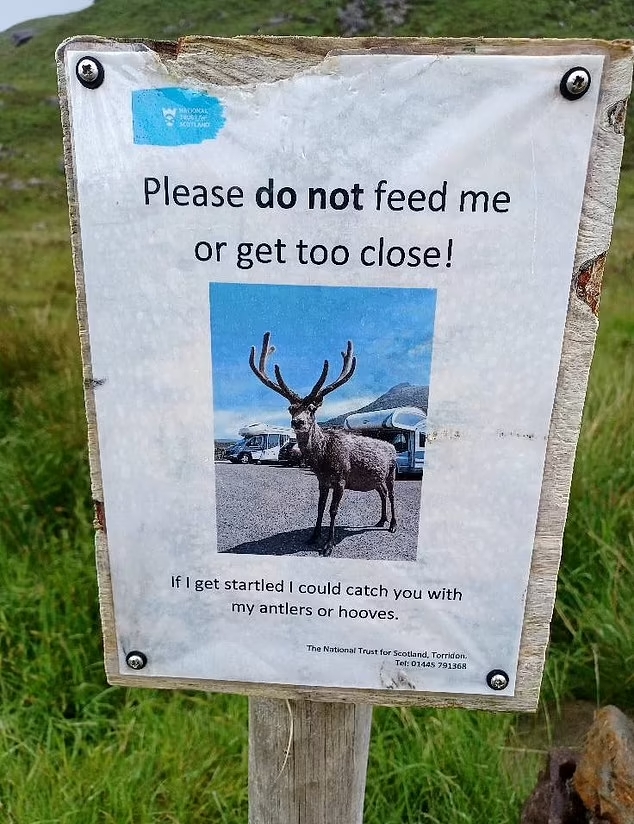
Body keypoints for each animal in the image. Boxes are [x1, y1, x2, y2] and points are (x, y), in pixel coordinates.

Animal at [249, 332, 397, 556]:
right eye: (291, 409)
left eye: (312, 409)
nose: (298, 422)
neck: (323, 460)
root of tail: (393, 447)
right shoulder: (322, 480)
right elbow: (319, 507)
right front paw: (313, 537)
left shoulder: (341, 478)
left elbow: (332, 510)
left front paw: (328, 545)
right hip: (376, 478)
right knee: (382, 493)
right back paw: (381, 520)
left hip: (391, 472)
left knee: (392, 495)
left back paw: (393, 524)